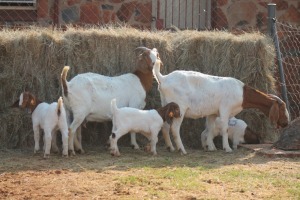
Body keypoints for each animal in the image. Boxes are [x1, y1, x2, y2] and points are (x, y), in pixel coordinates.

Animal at [154, 59, 290, 153]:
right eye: (283, 108)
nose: (286, 123)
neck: (242, 93)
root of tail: (164, 78)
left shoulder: (213, 113)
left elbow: (210, 128)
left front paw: (211, 147)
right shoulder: (225, 109)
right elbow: (225, 128)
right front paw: (227, 148)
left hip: (167, 105)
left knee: (165, 127)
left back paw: (171, 148)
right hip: (179, 108)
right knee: (174, 129)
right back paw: (182, 150)